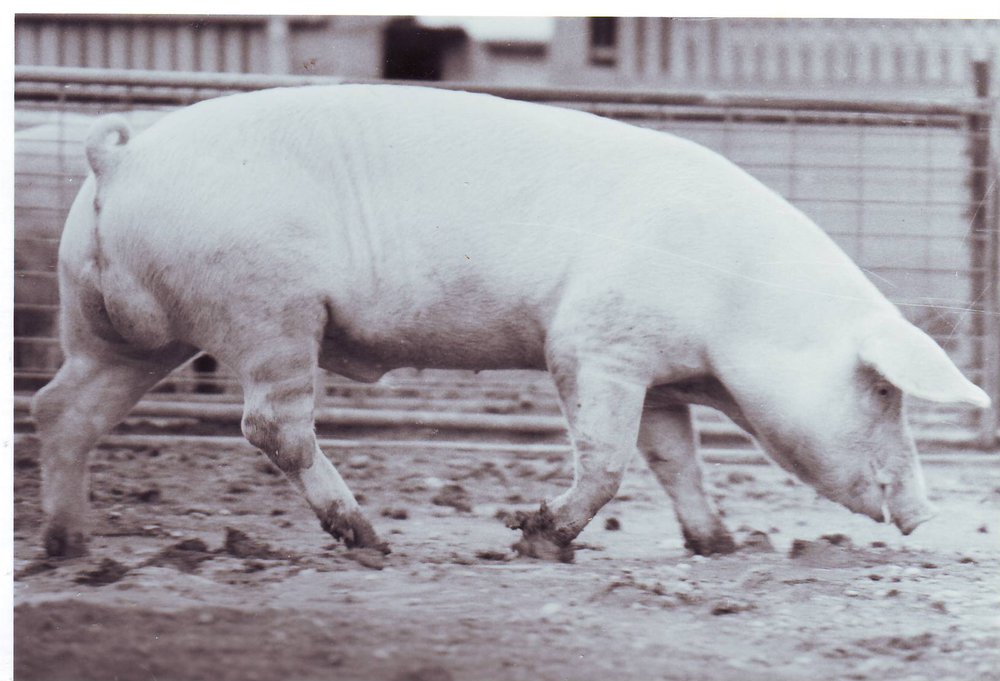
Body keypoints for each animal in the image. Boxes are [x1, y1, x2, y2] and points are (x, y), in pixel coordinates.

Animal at [32, 84, 991, 560]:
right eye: (882, 392)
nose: (926, 511)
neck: (738, 303)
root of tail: (119, 157)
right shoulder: (592, 345)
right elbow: (607, 461)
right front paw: (535, 538)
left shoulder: (657, 371)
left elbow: (675, 459)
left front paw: (720, 545)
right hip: (266, 307)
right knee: (272, 424)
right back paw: (369, 539)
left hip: (120, 329)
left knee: (59, 407)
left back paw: (70, 545)